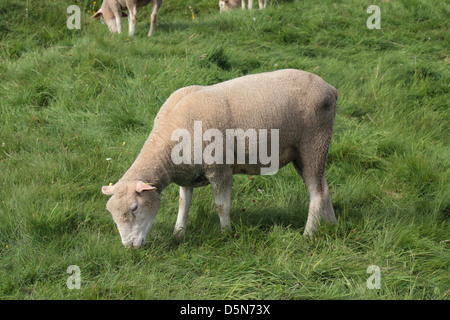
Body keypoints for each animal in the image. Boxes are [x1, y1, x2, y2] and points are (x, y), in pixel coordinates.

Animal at [100, 69, 336, 248]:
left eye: (134, 208)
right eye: (110, 213)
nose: (129, 246)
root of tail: (329, 88)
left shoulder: (219, 167)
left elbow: (221, 205)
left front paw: (227, 233)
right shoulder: (187, 173)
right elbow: (183, 204)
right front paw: (178, 233)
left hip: (313, 142)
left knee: (316, 192)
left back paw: (308, 234)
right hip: (305, 152)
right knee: (323, 187)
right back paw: (331, 223)